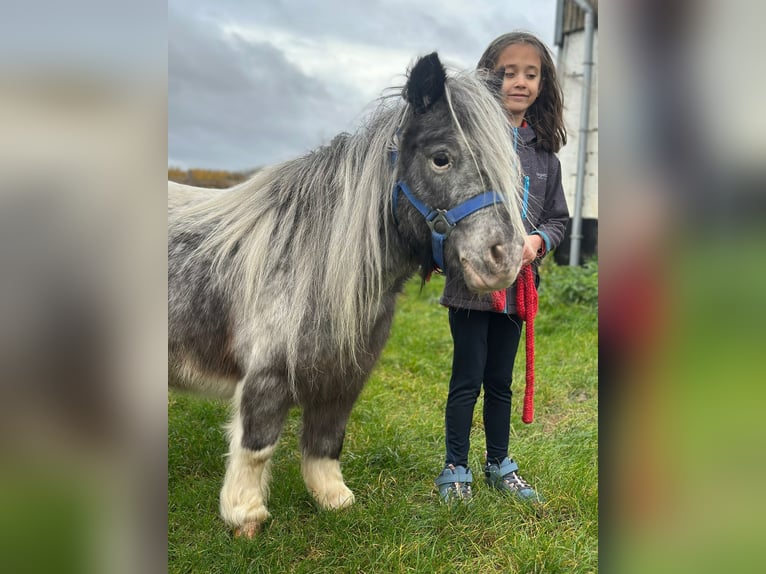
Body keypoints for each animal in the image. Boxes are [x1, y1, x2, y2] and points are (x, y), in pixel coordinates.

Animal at [168, 52, 526, 537]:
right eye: (441, 158)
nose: (504, 258)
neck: (311, 256)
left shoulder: (345, 374)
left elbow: (327, 438)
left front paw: (333, 499)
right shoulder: (266, 377)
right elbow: (257, 444)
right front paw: (245, 515)